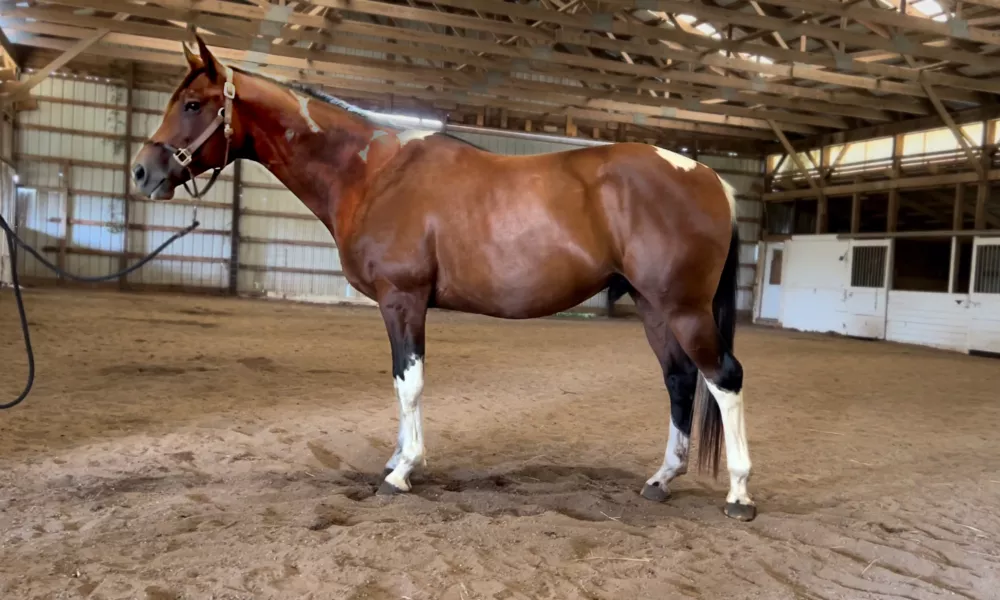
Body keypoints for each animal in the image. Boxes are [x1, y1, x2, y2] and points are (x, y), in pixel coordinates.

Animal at [135, 36, 756, 520]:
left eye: (193, 104)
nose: (143, 171)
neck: (371, 172)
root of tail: (711, 179)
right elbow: (400, 384)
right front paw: (396, 459)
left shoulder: (403, 300)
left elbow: (407, 384)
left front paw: (402, 472)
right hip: (654, 307)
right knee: (680, 380)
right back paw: (661, 480)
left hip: (683, 308)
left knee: (723, 378)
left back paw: (739, 494)